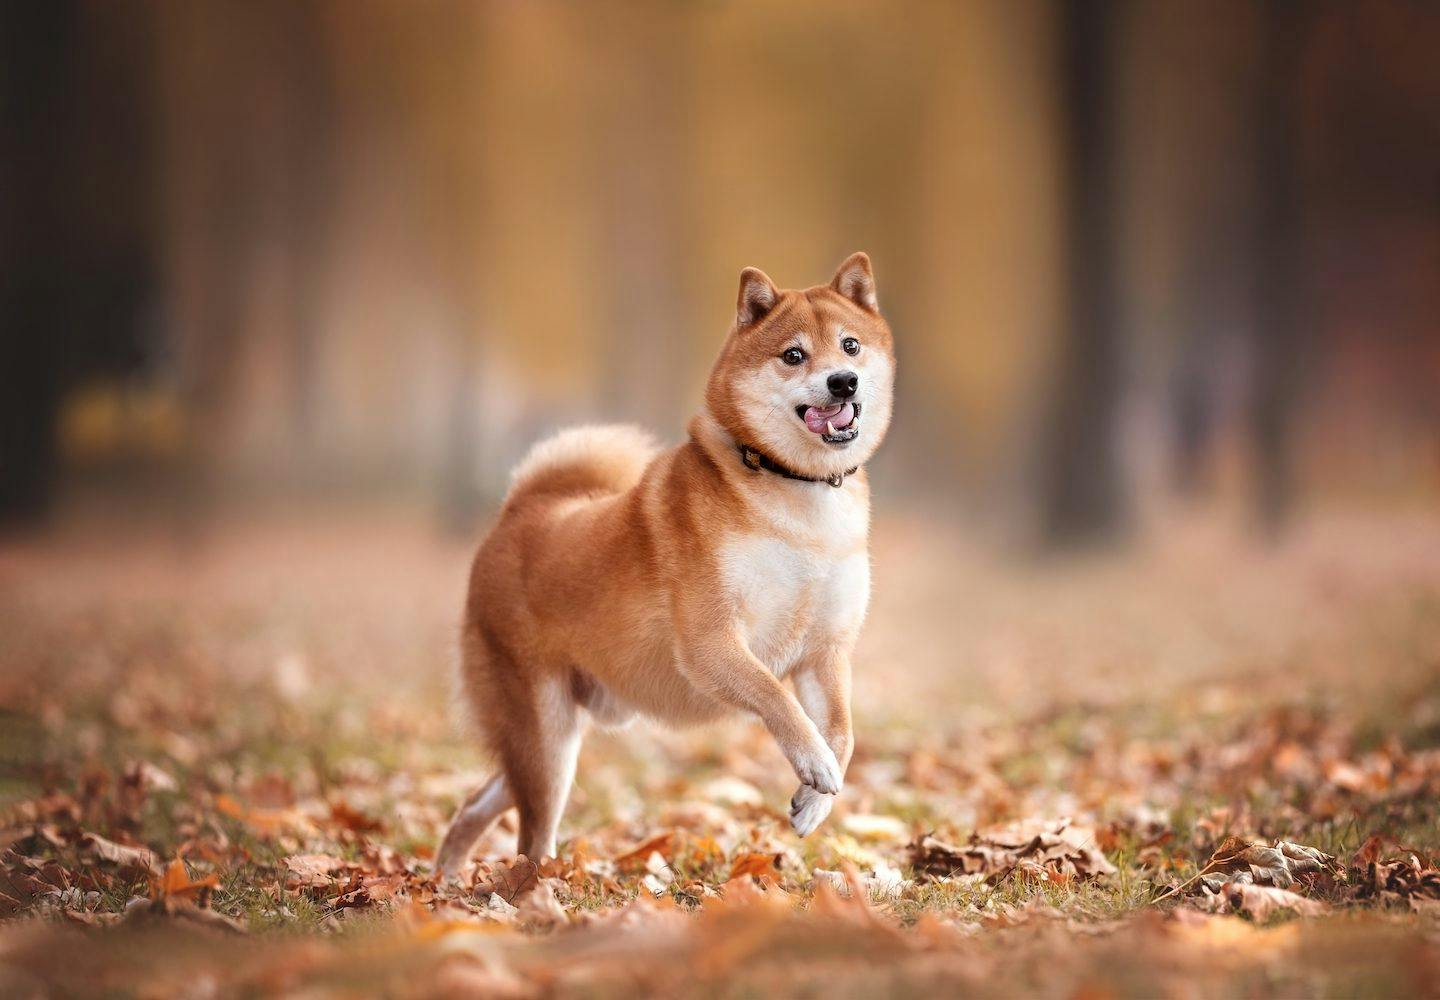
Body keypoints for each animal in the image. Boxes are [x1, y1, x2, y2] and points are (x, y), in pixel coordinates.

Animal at [432, 255, 892, 881]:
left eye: (850, 346)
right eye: (794, 355)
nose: (842, 381)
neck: (797, 498)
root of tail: (521, 511)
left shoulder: (825, 654)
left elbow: (842, 733)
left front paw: (815, 800)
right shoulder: (712, 642)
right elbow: (776, 698)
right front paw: (813, 763)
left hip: (551, 741)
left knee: (476, 804)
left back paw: (447, 879)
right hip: (544, 739)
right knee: (530, 836)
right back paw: (532, 886)